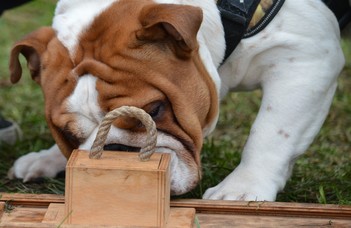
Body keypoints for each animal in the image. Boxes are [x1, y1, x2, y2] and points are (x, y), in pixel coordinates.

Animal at [7, 0, 346, 201]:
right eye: (67, 135)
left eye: (155, 110)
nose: (117, 151)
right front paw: (49, 158)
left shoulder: (305, 57)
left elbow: (271, 133)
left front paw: (242, 189)